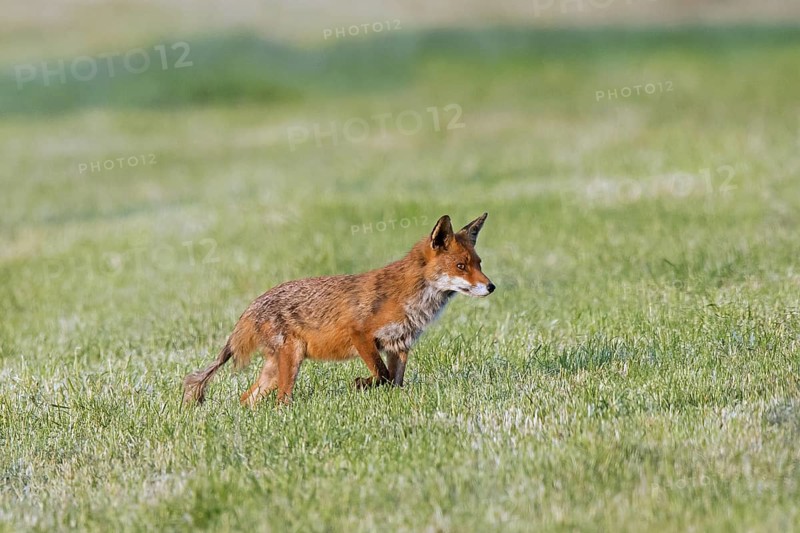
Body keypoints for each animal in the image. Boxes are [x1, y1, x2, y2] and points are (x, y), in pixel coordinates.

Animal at [182, 213, 495, 406]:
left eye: (479, 263)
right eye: (461, 266)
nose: (491, 287)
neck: (412, 299)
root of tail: (251, 306)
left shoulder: (400, 345)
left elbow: (395, 382)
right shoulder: (360, 334)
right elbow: (381, 376)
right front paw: (361, 384)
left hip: (273, 369)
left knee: (247, 399)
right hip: (292, 359)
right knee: (281, 400)